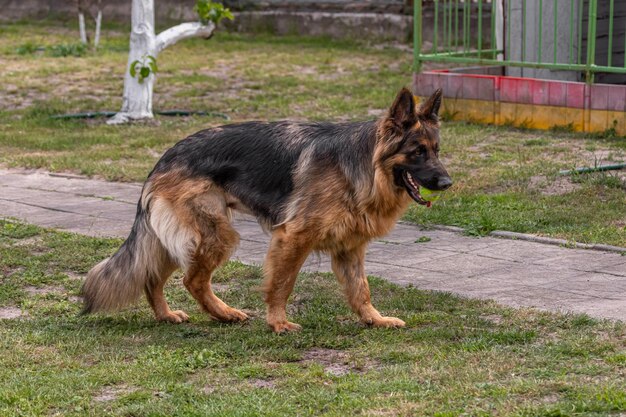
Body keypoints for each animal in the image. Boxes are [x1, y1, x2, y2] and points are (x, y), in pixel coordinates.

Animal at [84, 88, 454, 332]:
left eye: (436, 150)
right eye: (417, 152)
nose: (448, 182)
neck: (362, 165)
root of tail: (165, 157)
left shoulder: (349, 248)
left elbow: (360, 289)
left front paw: (373, 320)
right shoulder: (293, 238)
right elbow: (282, 284)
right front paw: (278, 323)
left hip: (178, 238)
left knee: (151, 276)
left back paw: (167, 315)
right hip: (216, 234)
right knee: (192, 280)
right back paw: (224, 313)